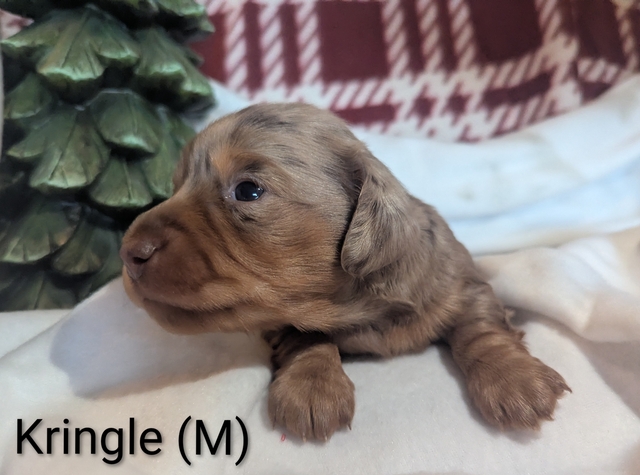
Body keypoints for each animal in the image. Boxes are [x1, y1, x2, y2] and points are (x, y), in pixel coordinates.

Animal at [120, 103, 570, 441]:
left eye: (247, 190)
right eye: (176, 185)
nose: (128, 252)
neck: (360, 308)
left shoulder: (462, 283)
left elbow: (482, 327)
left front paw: (516, 380)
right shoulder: (284, 320)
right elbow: (303, 335)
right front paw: (311, 388)